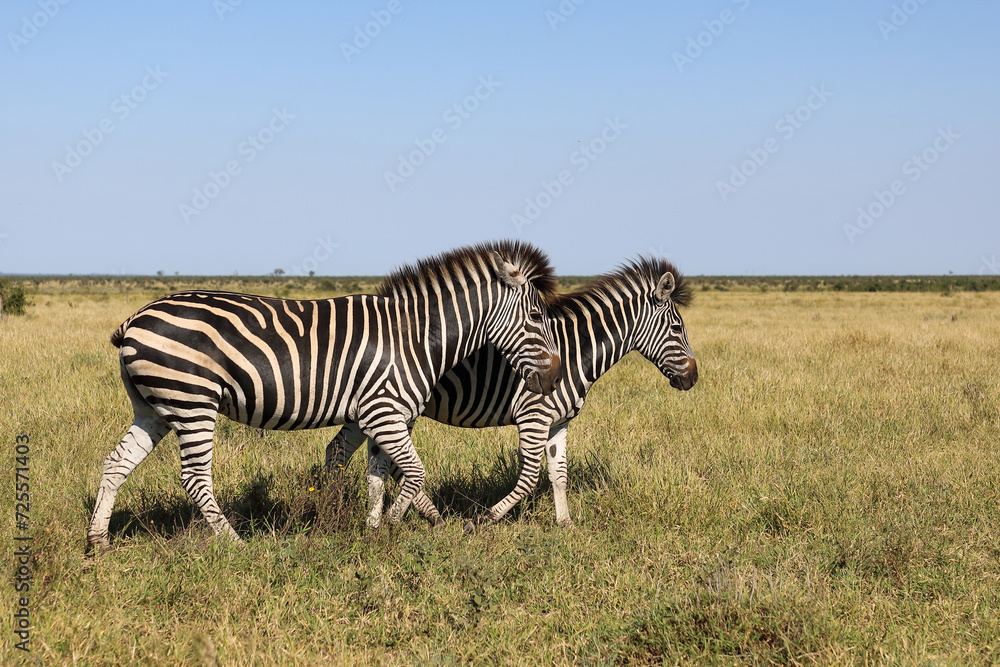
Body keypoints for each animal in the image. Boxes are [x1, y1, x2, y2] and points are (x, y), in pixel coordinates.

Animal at [86, 241, 562, 551]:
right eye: (537, 317)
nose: (555, 377)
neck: (416, 336)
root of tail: (134, 318)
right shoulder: (385, 411)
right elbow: (414, 473)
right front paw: (395, 523)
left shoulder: (374, 414)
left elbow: (379, 472)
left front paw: (376, 528)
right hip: (192, 401)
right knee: (195, 477)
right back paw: (235, 543)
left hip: (156, 406)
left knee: (117, 463)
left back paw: (99, 542)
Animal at [326, 256, 697, 529]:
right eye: (677, 327)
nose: (693, 378)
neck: (575, 352)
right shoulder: (534, 417)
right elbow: (530, 478)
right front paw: (483, 519)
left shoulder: (558, 422)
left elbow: (559, 474)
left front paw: (565, 525)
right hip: (392, 408)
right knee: (386, 463)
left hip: (367, 408)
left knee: (338, 449)